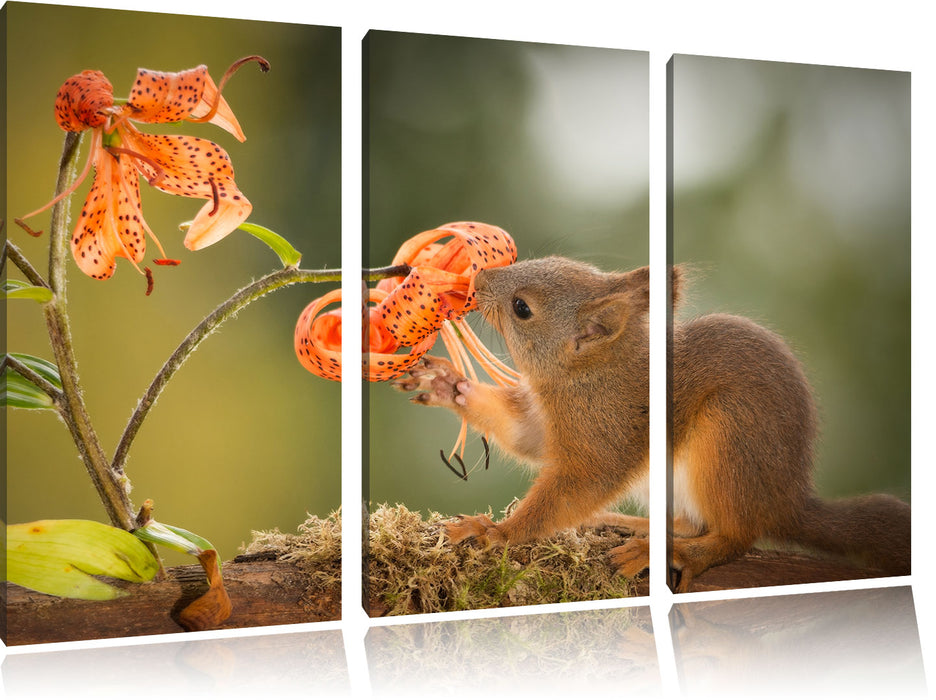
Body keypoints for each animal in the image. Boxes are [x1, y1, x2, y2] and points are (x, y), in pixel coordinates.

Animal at [394, 258, 908, 592]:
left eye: (522, 308)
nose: (478, 278)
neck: (586, 374)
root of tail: (785, 502)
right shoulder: (548, 423)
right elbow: (526, 438)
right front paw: (447, 384)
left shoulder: (606, 432)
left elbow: (575, 487)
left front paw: (495, 533)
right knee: (689, 521)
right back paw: (629, 524)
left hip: (730, 438)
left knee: (732, 537)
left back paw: (669, 550)